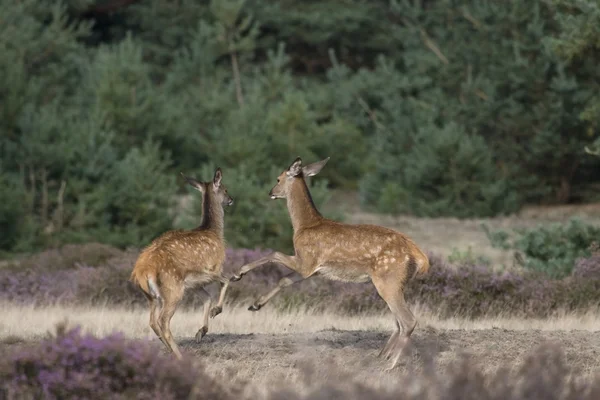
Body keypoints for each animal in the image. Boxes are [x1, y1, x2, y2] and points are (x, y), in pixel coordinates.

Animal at [130, 167, 233, 358]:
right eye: (225, 189)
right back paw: (179, 354)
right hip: (173, 288)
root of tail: (142, 270)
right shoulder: (213, 268)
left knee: (152, 321)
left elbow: (207, 298)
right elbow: (227, 280)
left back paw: (170, 349)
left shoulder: (193, 283)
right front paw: (216, 311)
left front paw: (201, 332)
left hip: (151, 295)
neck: (214, 231)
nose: (231, 199)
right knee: (162, 320)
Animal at [230, 156, 432, 368]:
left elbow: (274, 254)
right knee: (398, 322)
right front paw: (255, 305)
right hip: (395, 283)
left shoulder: (307, 260)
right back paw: (381, 356)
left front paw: (237, 274)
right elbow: (284, 280)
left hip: (388, 279)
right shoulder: (313, 270)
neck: (303, 226)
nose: (271, 192)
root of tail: (420, 256)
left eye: (278, 178)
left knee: (407, 320)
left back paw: (390, 364)